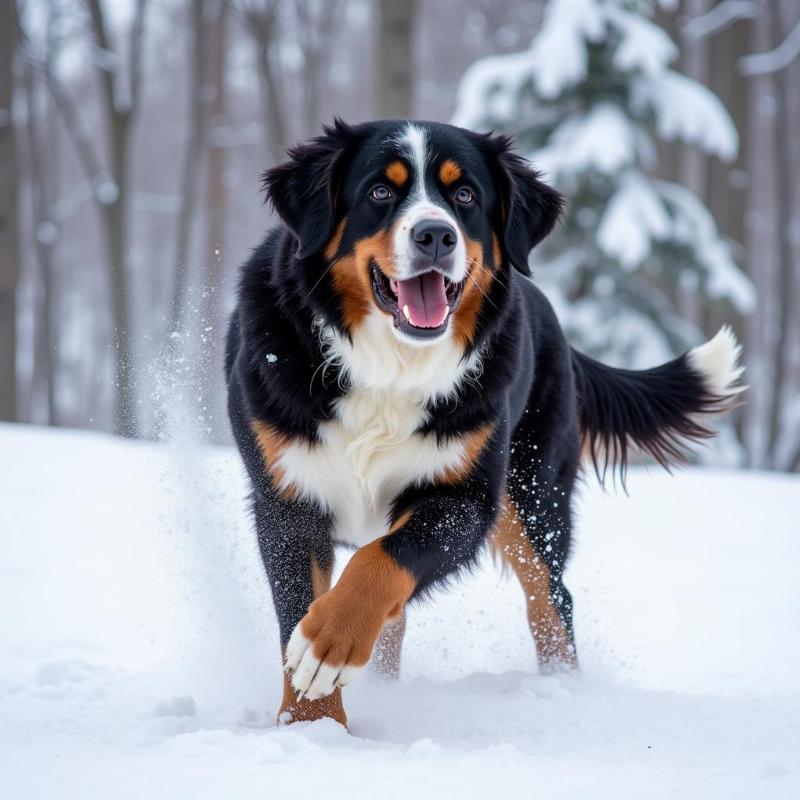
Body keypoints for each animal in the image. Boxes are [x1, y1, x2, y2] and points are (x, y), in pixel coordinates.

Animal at [225, 117, 744, 724]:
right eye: (379, 191)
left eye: (465, 195)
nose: (435, 235)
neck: (389, 370)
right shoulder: (287, 496)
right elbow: (299, 608)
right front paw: (314, 723)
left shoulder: (466, 497)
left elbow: (379, 564)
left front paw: (328, 644)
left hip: (534, 496)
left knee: (551, 599)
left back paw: (563, 691)